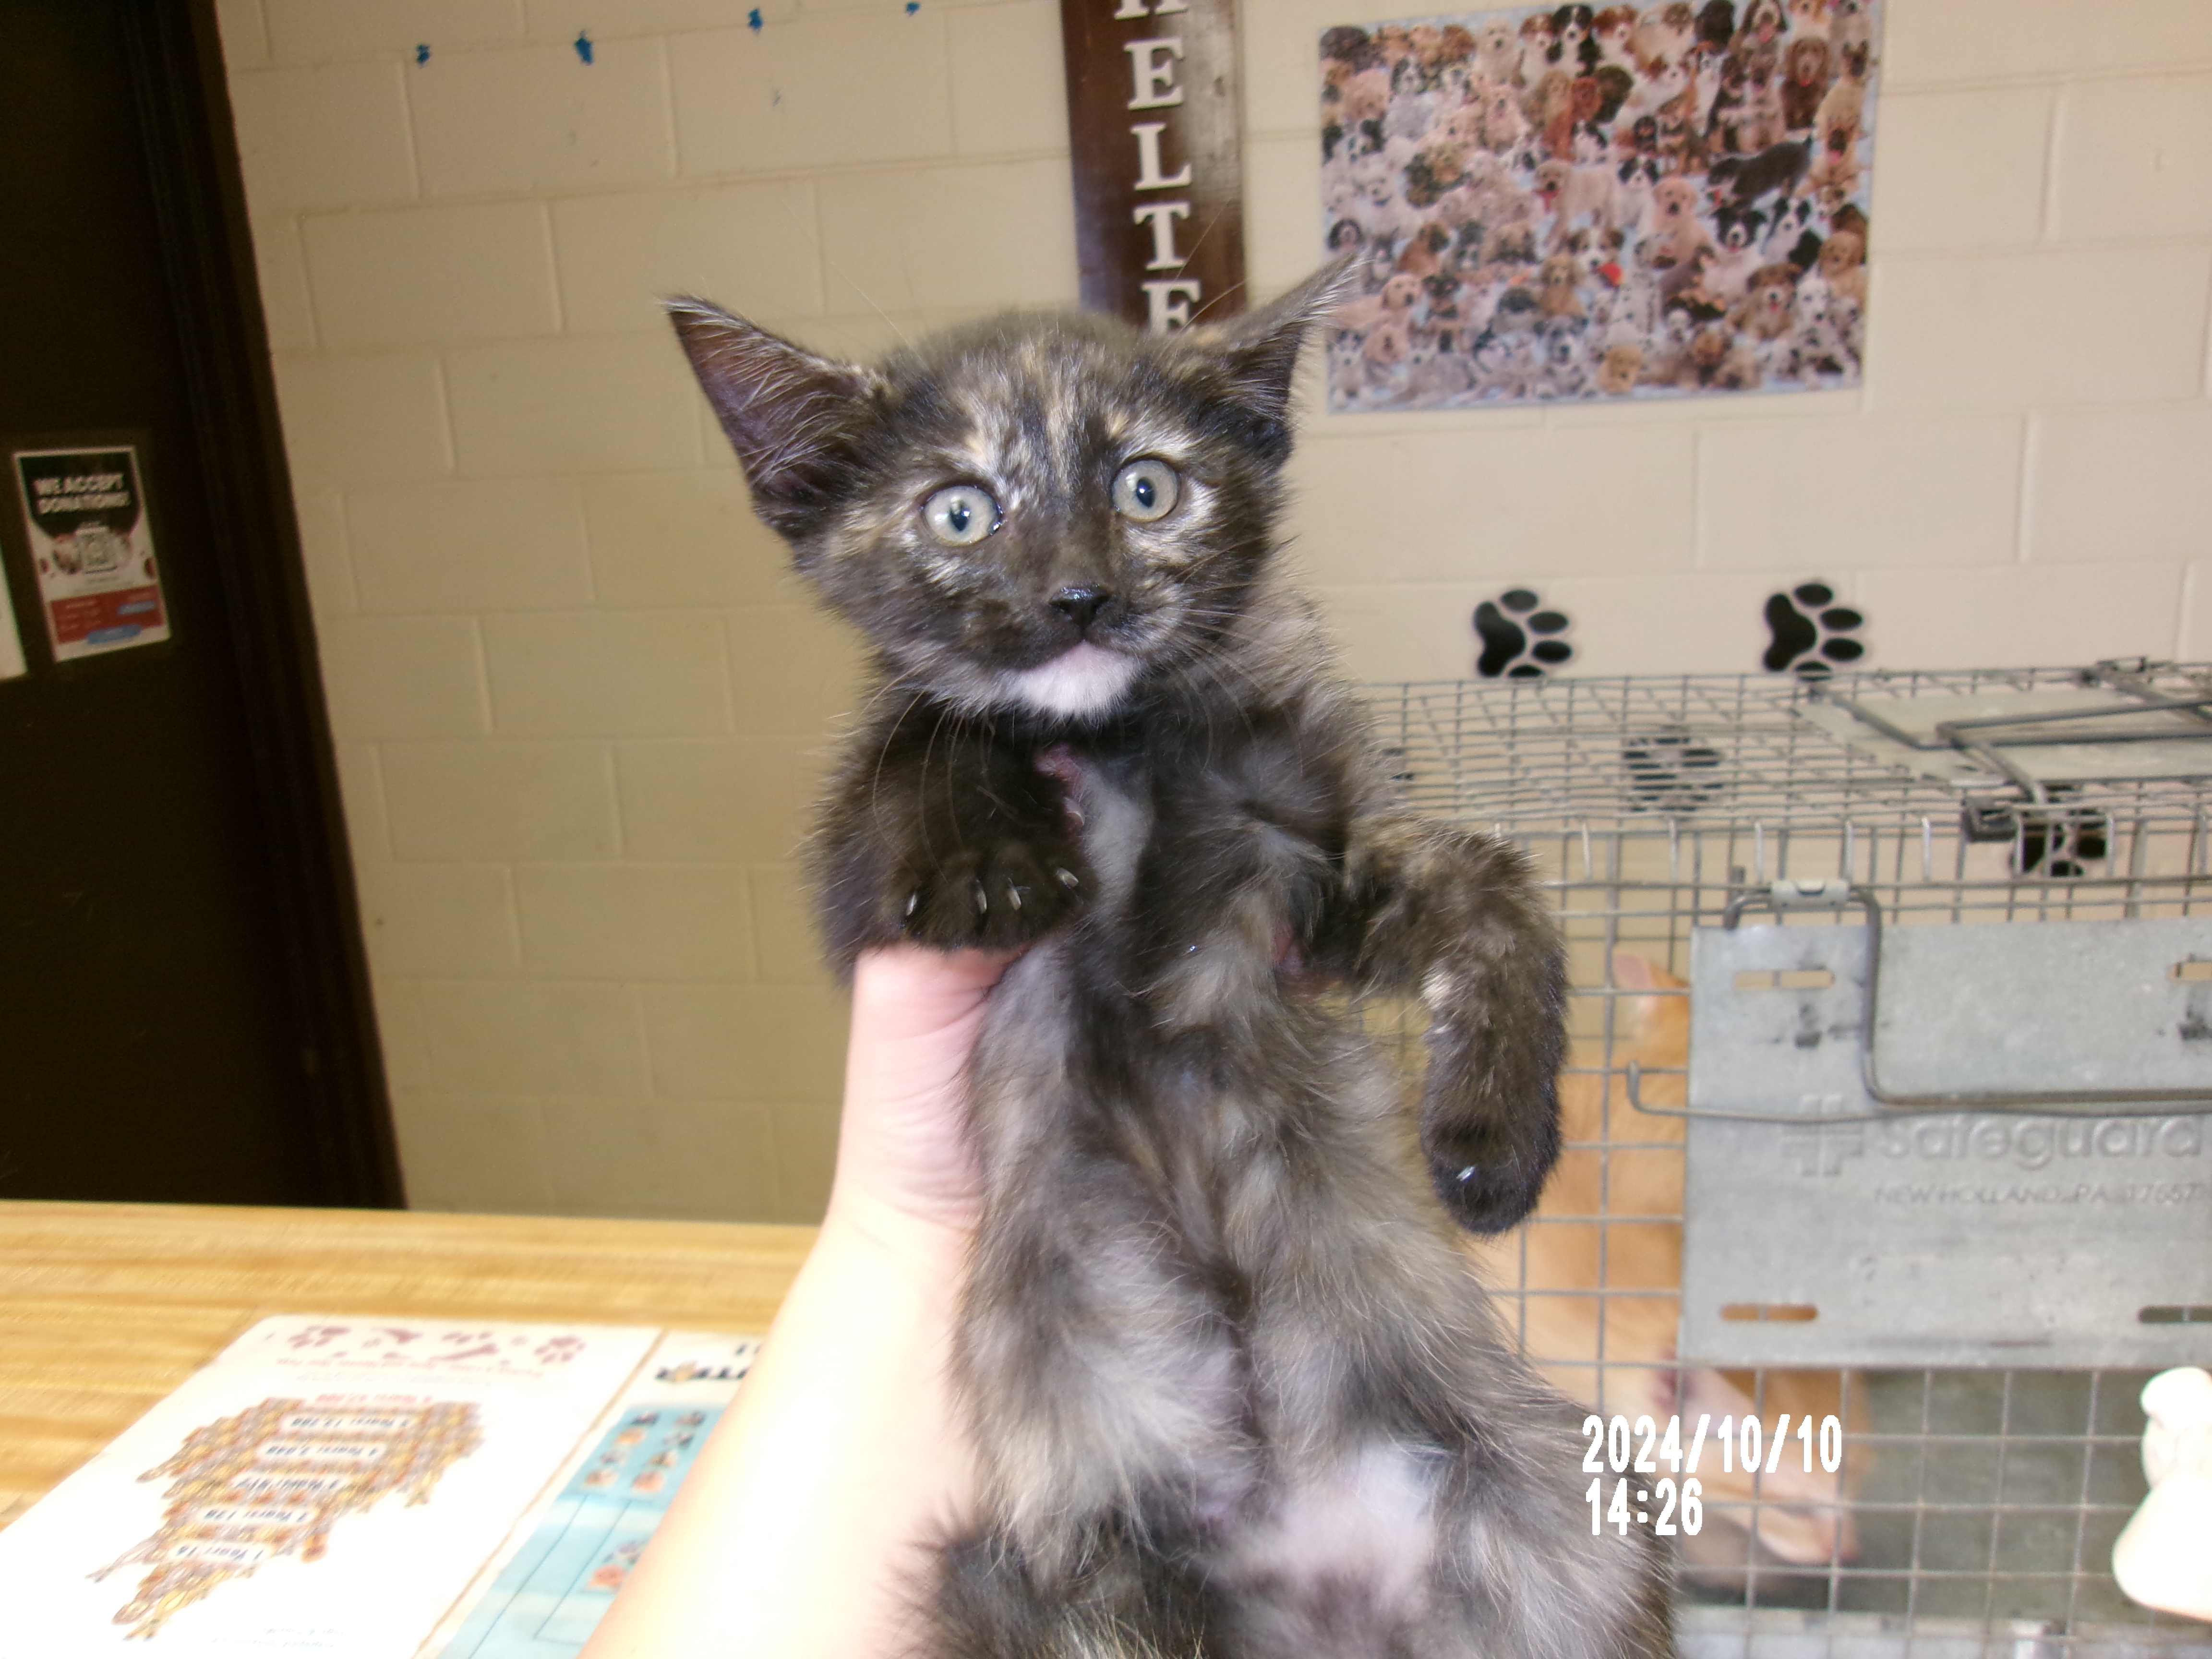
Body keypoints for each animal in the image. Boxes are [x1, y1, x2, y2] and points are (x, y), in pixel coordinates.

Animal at [663, 273, 1663, 1659]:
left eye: (1148, 488)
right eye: (960, 510)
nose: (1079, 596)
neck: (1123, 746)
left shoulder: (1317, 868)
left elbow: (1499, 888)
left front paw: (1493, 1147)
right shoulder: (861, 903)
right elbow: (914, 743)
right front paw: (990, 857)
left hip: (1577, 1516)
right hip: (1051, 1585)